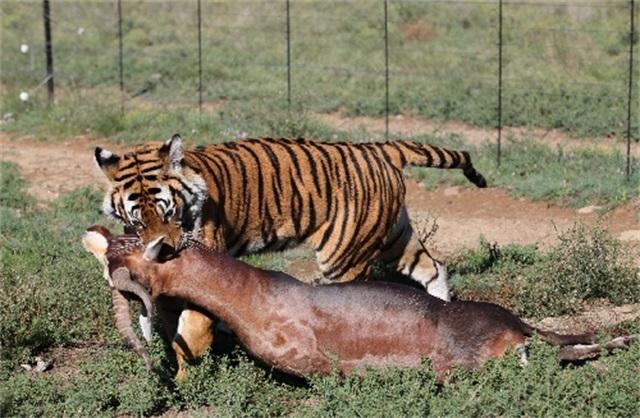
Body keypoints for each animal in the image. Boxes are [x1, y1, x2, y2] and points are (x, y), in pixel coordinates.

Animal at [84, 227, 636, 380]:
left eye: (131, 273)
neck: (258, 295)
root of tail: (515, 324)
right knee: (572, 345)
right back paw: (618, 339)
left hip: (473, 362)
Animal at [94, 135, 484, 378]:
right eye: (138, 221)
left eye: (169, 211)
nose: (167, 250)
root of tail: (379, 148)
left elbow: (191, 328)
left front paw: (188, 379)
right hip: (394, 237)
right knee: (434, 268)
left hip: (345, 255)